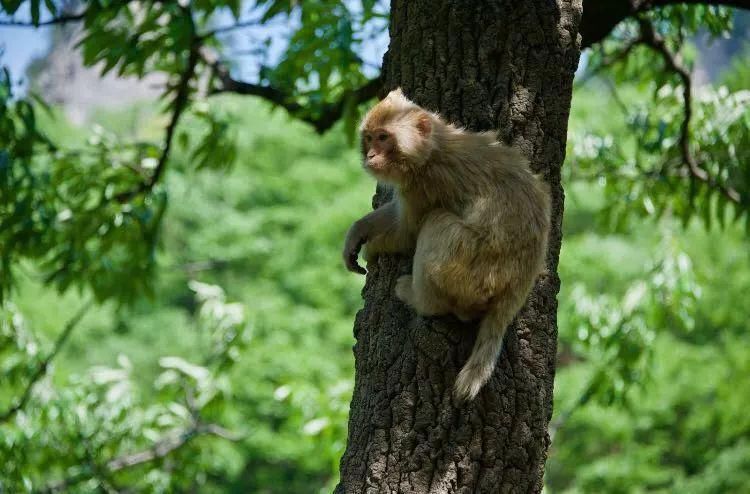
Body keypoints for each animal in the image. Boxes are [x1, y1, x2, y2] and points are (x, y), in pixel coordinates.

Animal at [342, 90, 552, 404]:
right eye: (369, 138)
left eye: (383, 138)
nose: (370, 156)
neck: (431, 150)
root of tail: (518, 284)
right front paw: (358, 231)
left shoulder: (425, 184)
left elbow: (408, 233)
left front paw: (374, 247)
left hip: (475, 272)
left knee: (436, 223)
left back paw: (421, 299)